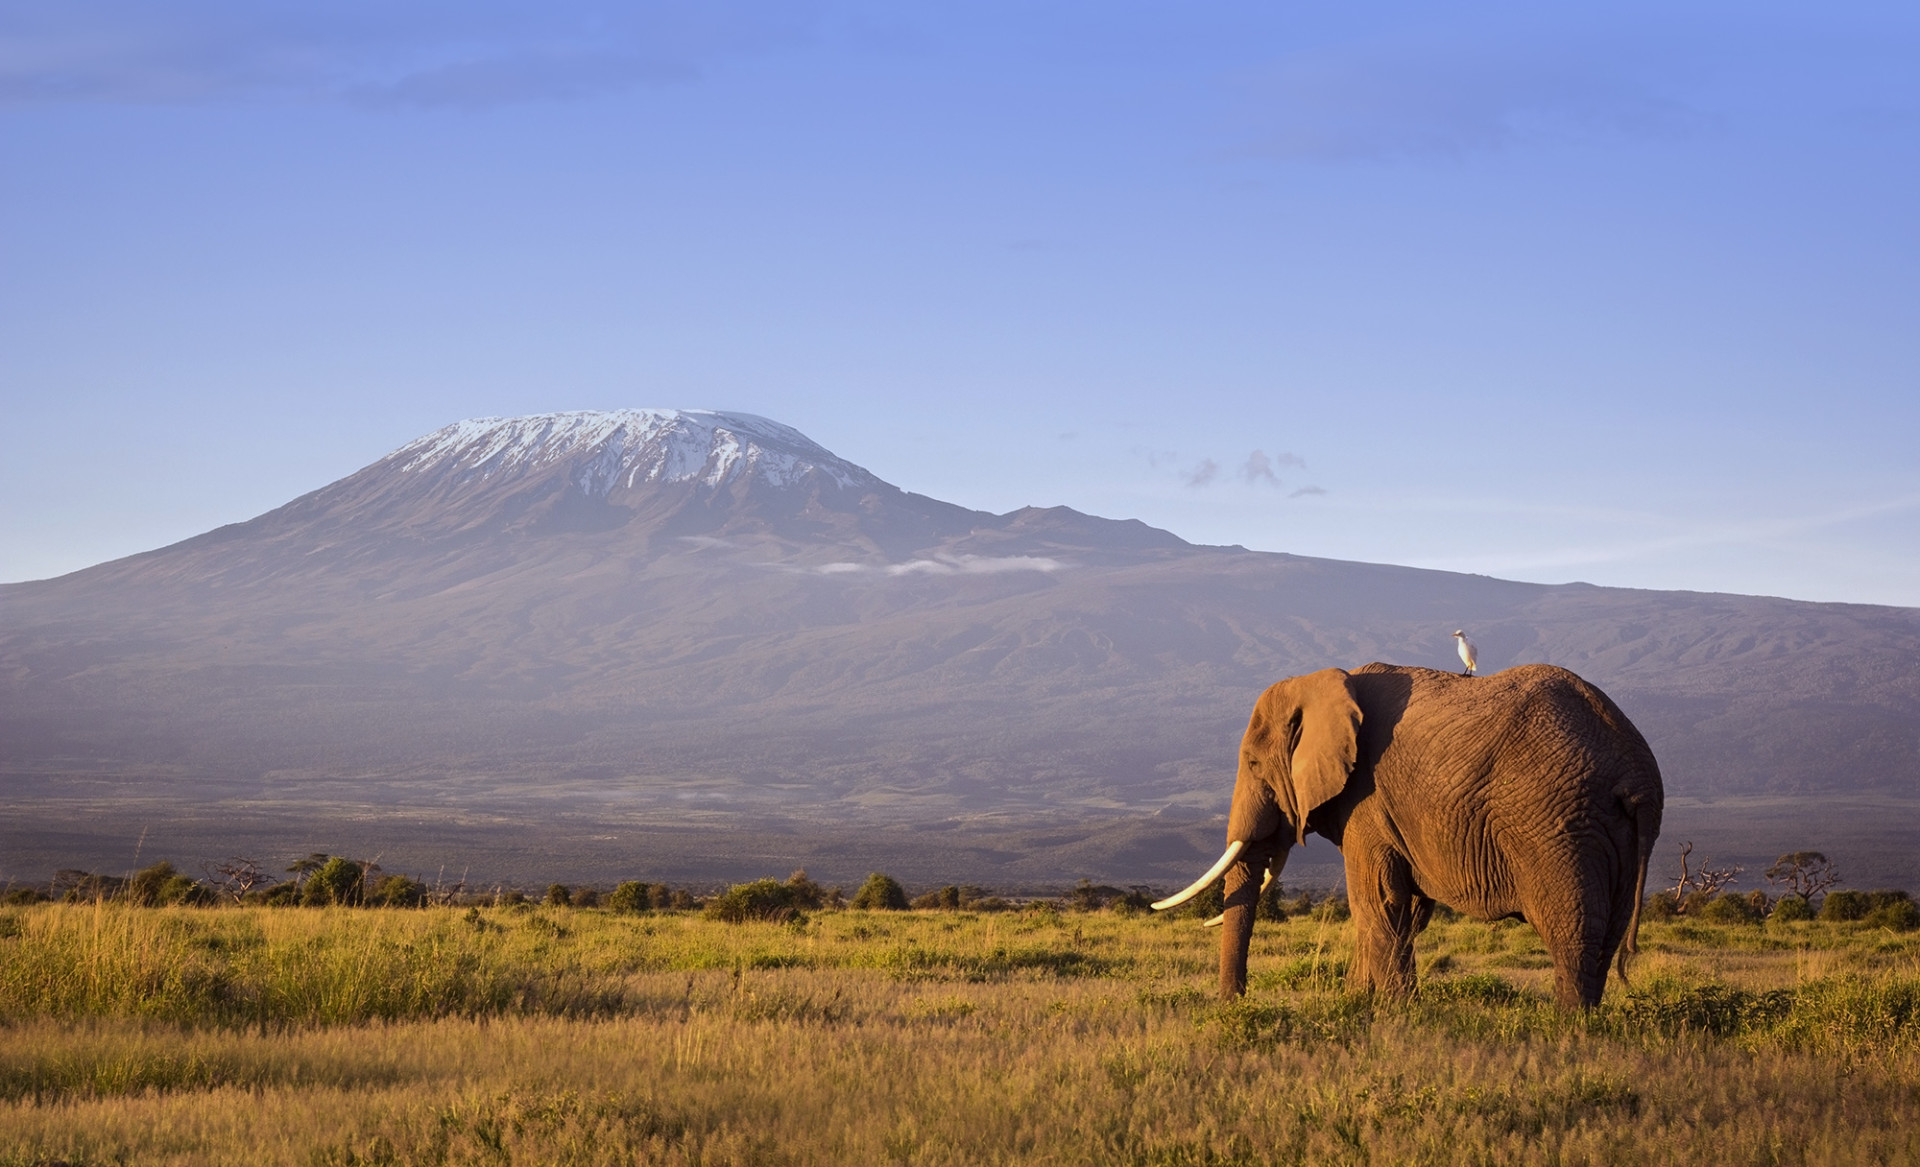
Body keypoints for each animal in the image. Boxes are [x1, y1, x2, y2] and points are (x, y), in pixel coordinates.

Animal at [1154, 662, 1663, 1008]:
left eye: (1254, 763)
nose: (1236, 1003)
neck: (1325, 680)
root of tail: (1636, 773)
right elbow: (1405, 911)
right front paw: (1358, 1004)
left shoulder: (1368, 800)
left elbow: (1376, 902)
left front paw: (1395, 1014)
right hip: (1612, 833)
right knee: (1608, 933)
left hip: (1556, 826)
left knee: (1571, 930)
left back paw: (1566, 1028)